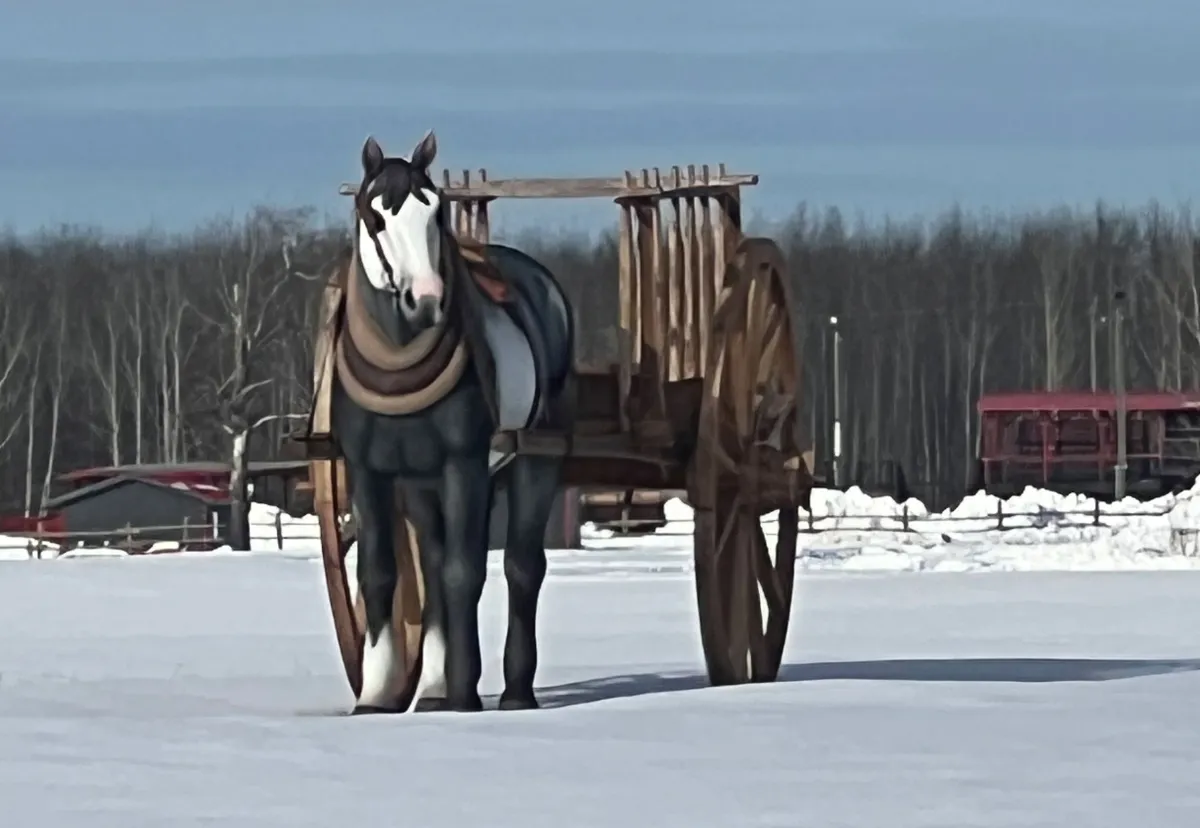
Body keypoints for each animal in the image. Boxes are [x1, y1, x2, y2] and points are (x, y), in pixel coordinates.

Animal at [329, 130, 575, 713]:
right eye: (376, 218)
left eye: (436, 211)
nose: (426, 301)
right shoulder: (369, 471)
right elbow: (380, 574)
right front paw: (376, 692)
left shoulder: (463, 463)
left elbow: (466, 573)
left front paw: (464, 691)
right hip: (424, 485)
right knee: (437, 564)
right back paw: (434, 690)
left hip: (533, 462)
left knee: (522, 567)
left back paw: (514, 691)